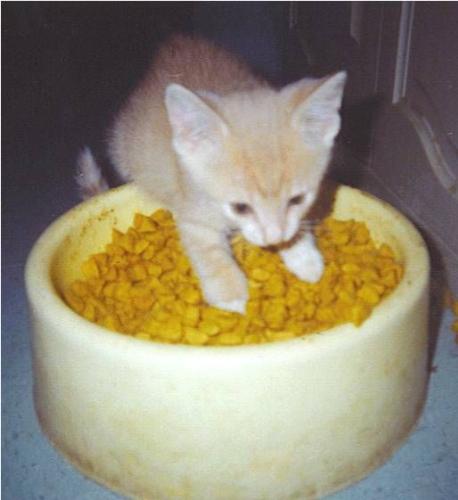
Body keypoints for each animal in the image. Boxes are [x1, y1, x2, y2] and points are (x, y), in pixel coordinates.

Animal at [77, 35, 346, 314]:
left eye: (297, 200)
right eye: (240, 207)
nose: (274, 236)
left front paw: (303, 256)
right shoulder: (192, 212)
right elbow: (209, 253)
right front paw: (231, 295)